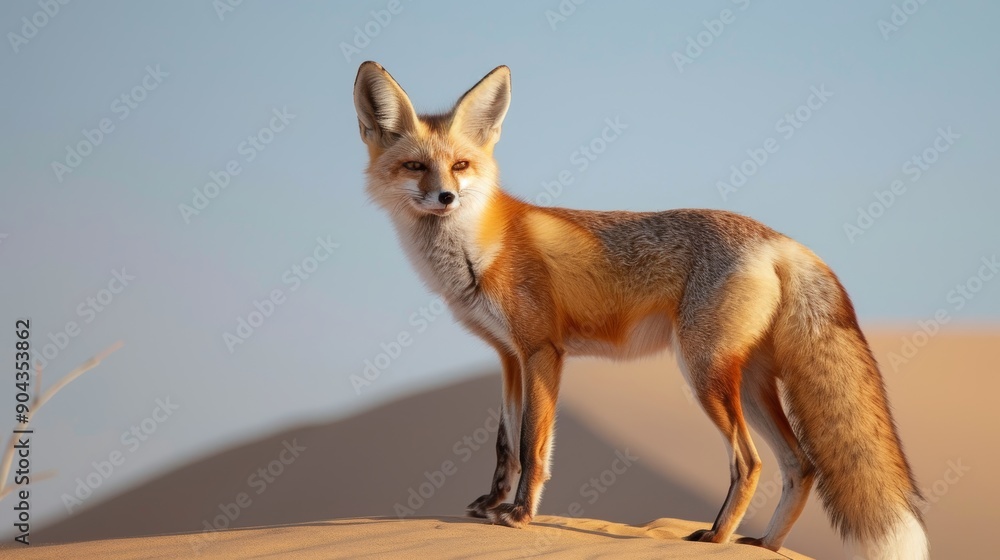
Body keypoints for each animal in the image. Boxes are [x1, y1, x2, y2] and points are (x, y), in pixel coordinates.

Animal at [353, 61, 929, 559]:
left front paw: (519, 517)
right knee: (801, 465)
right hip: (749, 382)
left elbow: (533, 444)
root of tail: (777, 238)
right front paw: (493, 506)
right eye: (415, 167)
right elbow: (504, 445)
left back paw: (717, 537)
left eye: (460, 166)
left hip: (705, 373)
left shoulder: (542, 351)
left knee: (750, 462)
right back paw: (765, 546)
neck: (479, 249)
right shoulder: (508, 357)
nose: (446, 198)